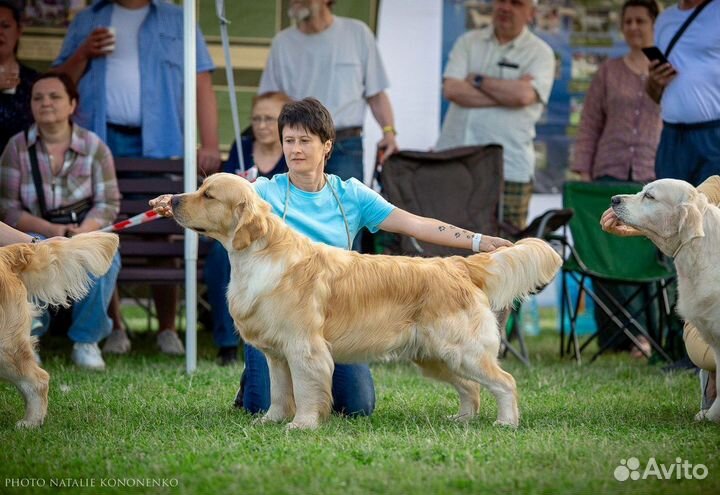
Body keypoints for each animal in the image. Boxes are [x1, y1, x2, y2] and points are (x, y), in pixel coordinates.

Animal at [170, 175, 564, 430]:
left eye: (208, 195)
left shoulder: (304, 347)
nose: (172, 199)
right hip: (435, 356)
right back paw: (463, 419)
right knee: (471, 388)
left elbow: (307, 390)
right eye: (200, 189)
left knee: (505, 381)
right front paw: (271, 420)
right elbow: (280, 392)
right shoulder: (277, 355)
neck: (259, 255)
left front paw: (302, 425)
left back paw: (506, 422)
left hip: (461, 350)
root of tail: (455, 264)